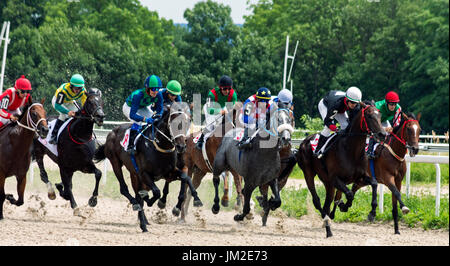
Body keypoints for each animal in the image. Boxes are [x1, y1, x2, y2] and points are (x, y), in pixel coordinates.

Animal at [93, 103, 202, 232]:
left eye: (187, 122)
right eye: (173, 123)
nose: (181, 146)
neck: (159, 146)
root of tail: (111, 132)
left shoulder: (169, 172)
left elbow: (185, 178)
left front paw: (195, 200)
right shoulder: (144, 173)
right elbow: (156, 192)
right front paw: (151, 200)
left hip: (134, 175)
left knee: (137, 193)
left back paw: (144, 221)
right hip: (116, 164)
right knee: (125, 189)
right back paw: (140, 214)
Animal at [296, 103, 386, 238]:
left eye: (380, 115)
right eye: (369, 116)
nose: (382, 134)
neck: (351, 150)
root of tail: (304, 142)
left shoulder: (359, 177)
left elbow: (374, 183)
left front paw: (372, 212)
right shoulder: (335, 179)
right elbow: (349, 194)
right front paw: (344, 206)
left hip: (328, 183)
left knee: (327, 204)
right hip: (309, 174)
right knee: (317, 201)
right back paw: (327, 225)